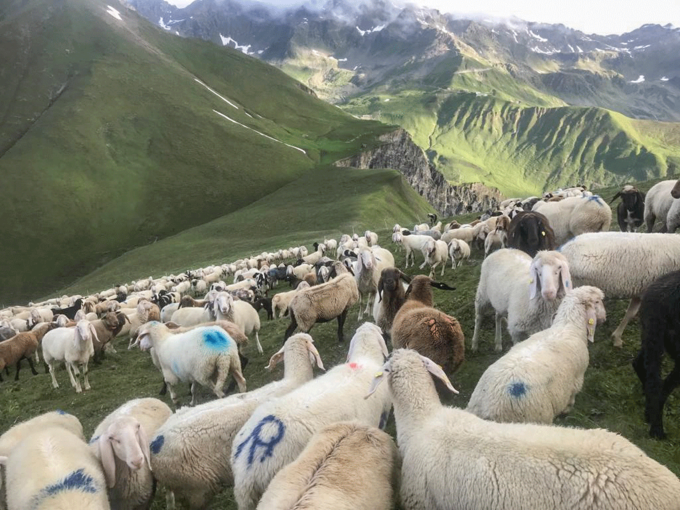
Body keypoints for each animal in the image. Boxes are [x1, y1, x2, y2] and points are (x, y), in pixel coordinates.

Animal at [468, 286, 606, 424]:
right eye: (598, 301)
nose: (604, 318)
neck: (568, 325)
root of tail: (488, 409)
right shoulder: (577, 379)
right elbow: (572, 397)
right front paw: (567, 410)